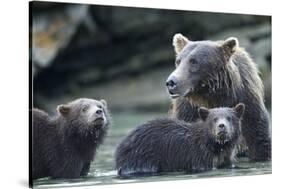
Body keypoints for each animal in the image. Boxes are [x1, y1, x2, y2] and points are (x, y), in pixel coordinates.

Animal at [115, 102, 244, 176]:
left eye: (229, 118)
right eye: (214, 119)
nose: (221, 126)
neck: (216, 145)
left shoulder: (225, 156)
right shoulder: (199, 155)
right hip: (142, 157)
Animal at [165, 33, 270, 161]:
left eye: (194, 61)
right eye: (178, 61)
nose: (171, 82)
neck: (211, 96)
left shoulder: (246, 101)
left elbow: (258, 136)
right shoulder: (188, 110)